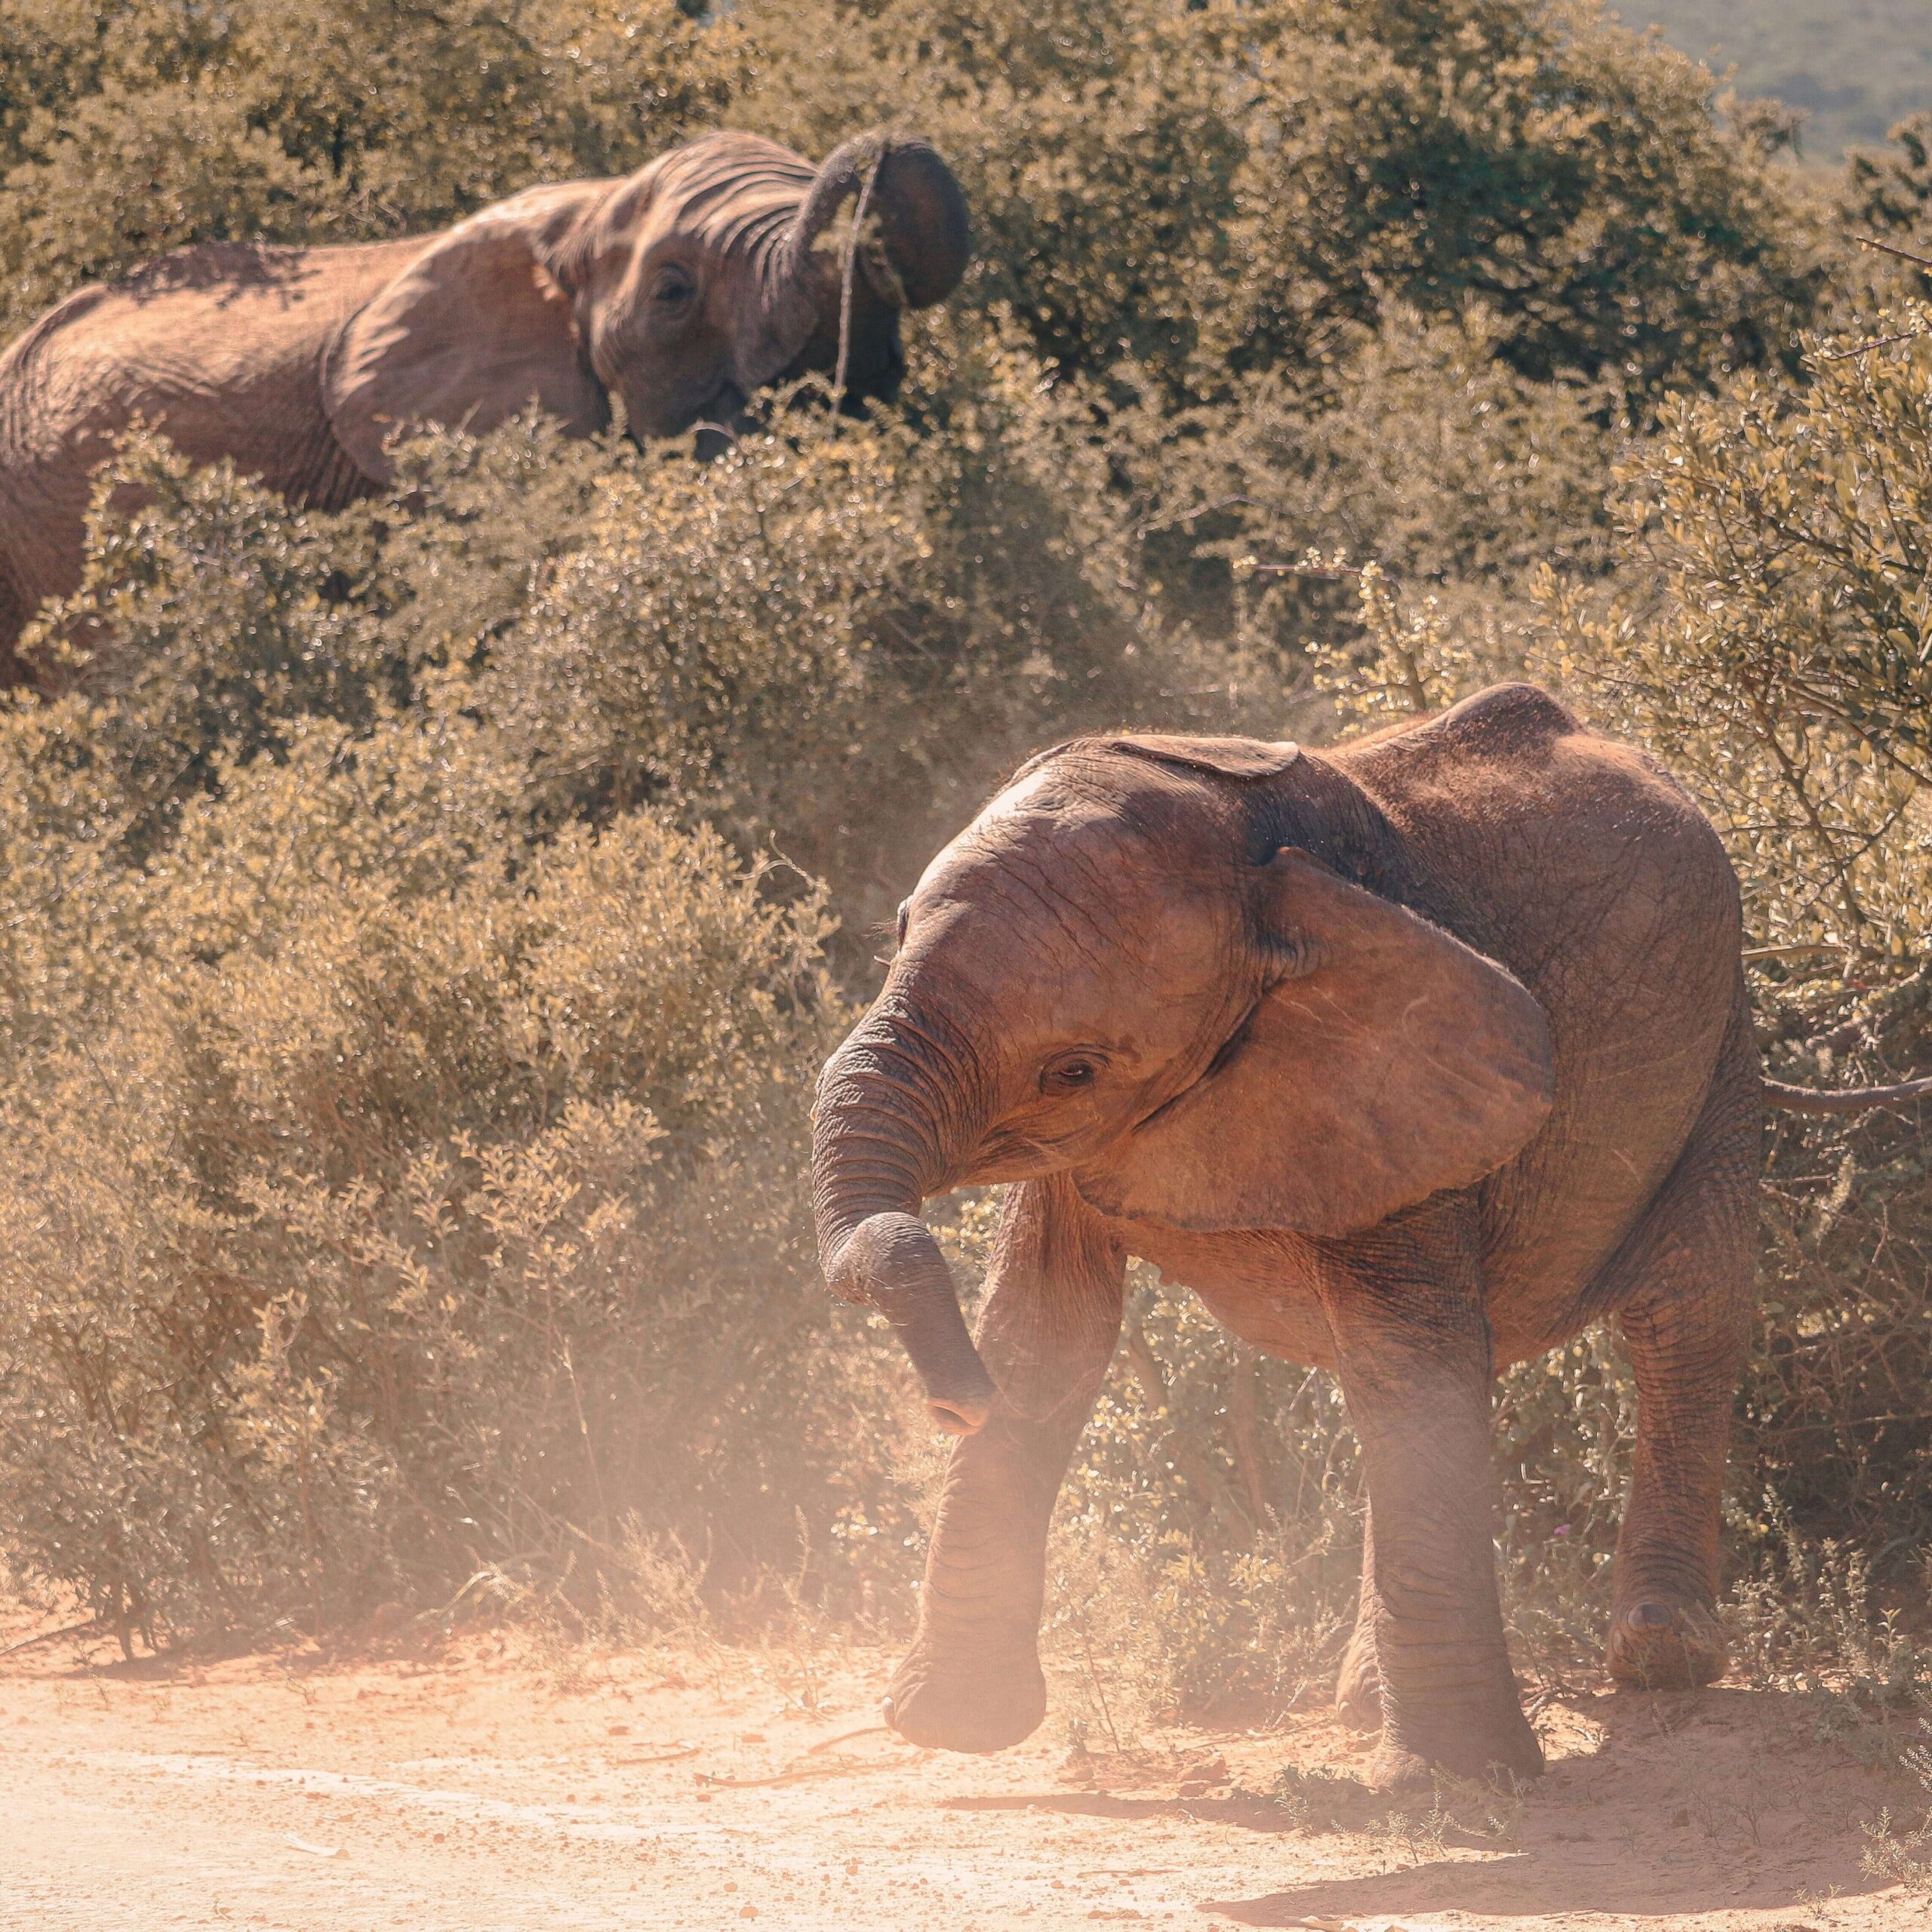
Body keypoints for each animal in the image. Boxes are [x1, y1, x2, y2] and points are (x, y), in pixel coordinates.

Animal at [811, 688, 1932, 1785]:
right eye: (895, 933)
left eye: (1073, 1068)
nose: (950, 1406)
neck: (1262, 874)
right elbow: (1046, 1333)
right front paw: (955, 1730)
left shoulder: (1411, 1075)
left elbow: (1406, 1351)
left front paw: (1462, 1788)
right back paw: (1361, 1701)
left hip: (1721, 1043)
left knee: (1683, 1315)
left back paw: (1658, 1660)